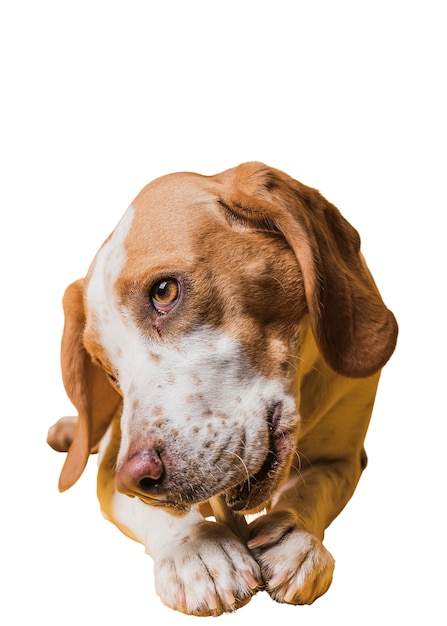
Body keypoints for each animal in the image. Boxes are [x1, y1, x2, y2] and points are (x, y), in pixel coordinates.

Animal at [48, 162, 400, 616]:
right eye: (108, 370)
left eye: (165, 291)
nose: (139, 478)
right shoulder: (111, 467)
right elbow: (158, 513)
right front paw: (196, 550)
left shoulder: (343, 459)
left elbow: (313, 488)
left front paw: (296, 537)